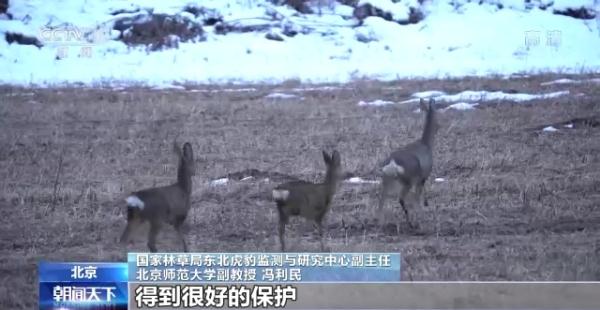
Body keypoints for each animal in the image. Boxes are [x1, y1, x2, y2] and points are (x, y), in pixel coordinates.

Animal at [380, 98, 440, 229]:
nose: (439, 126)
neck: (426, 144)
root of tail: (392, 162)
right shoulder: (423, 176)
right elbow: (419, 195)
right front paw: (425, 207)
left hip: (386, 180)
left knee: (380, 201)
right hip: (408, 179)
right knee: (406, 199)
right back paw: (415, 222)